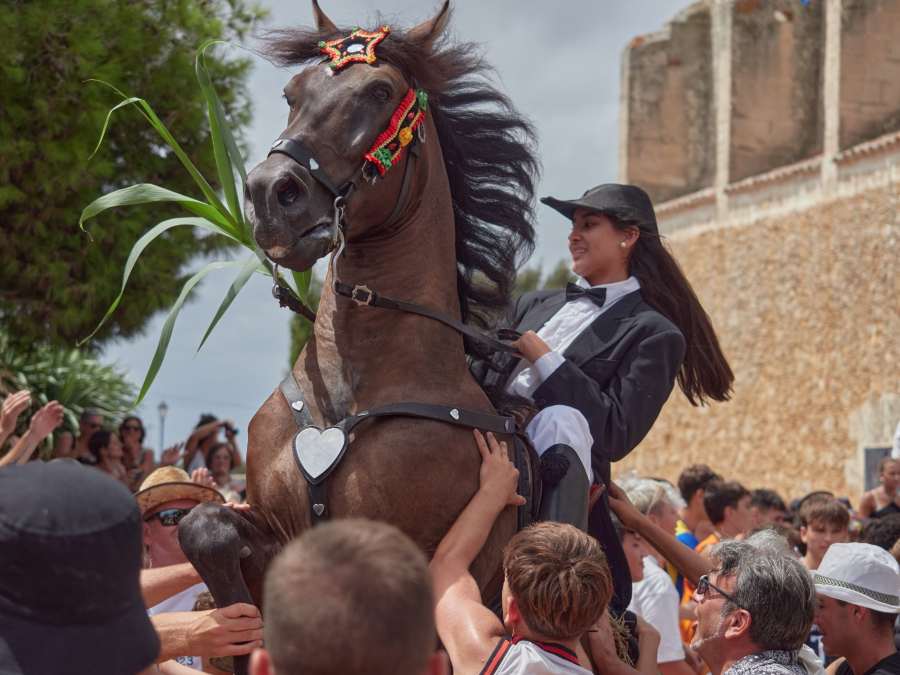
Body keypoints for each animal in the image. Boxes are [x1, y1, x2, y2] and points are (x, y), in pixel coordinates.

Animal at [179, 3, 536, 672]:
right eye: (292, 94)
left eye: (379, 92)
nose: (271, 193)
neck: (351, 390)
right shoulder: (277, 531)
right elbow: (203, 528)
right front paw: (233, 630)